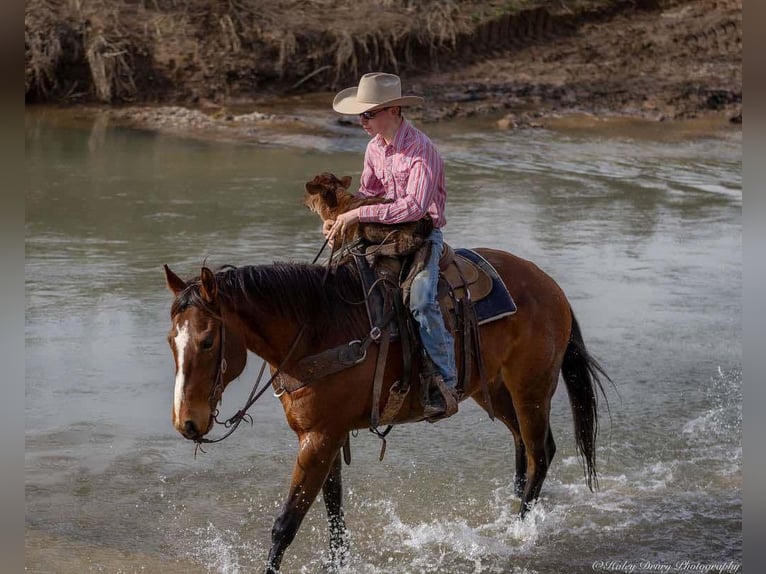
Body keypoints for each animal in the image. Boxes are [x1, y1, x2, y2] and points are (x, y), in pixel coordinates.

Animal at [164, 252, 612, 574]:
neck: (316, 330)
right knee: (522, 445)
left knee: (541, 452)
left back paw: (519, 532)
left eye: (207, 341)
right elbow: (334, 508)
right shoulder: (325, 435)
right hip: (494, 390)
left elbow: (287, 522)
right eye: (172, 339)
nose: (187, 423)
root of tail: (550, 287)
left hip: (530, 389)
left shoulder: (320, 438)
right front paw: (338, 564)